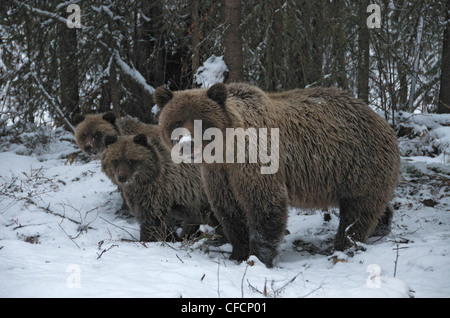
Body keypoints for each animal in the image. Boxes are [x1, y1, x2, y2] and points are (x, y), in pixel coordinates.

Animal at [156, 83, 400, 268]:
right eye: (176, 121)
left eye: (202, 121)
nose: (186, 144)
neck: (226, 151)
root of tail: (381, 120)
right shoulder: (219, 174)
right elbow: (230, 212)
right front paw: (238, 252)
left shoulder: (255, 161)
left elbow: (265, 205)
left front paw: (258, 258)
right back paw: (380, 226)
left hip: (358, 163)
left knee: (357, 211)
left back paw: (344, 245)